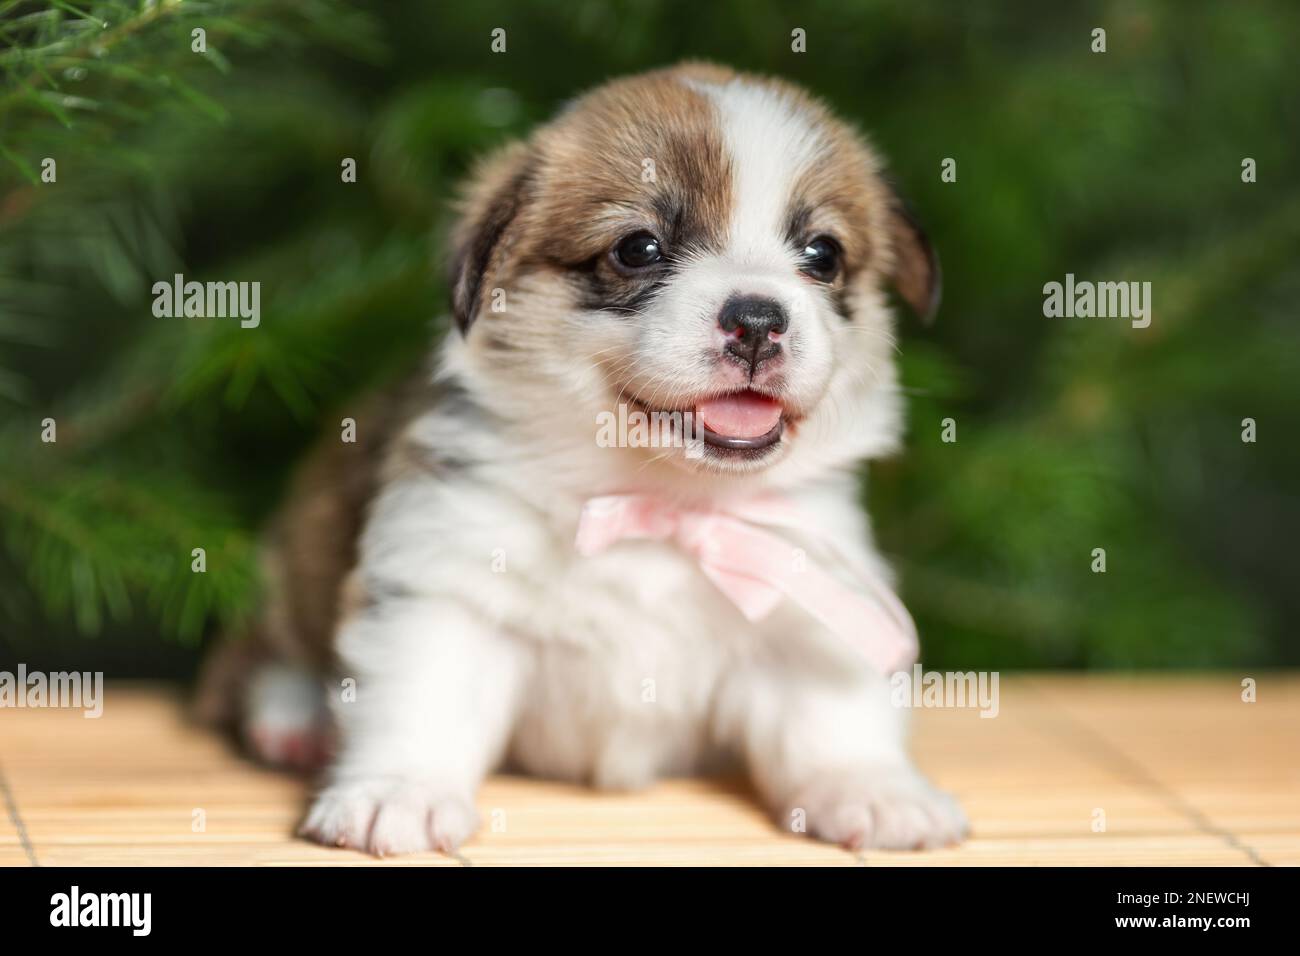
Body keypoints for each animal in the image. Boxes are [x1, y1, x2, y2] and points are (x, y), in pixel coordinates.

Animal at [192, 61, 967, 853]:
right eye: (637, 248)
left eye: (823, 254)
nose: (757, 319)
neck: (660, 504)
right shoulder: (446, 587)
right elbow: (422, 698)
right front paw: (396, 790)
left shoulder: (808, 603)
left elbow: (834, 716)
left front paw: (872, 789)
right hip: (289, 568)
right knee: (260, 654)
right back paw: (294, 720)